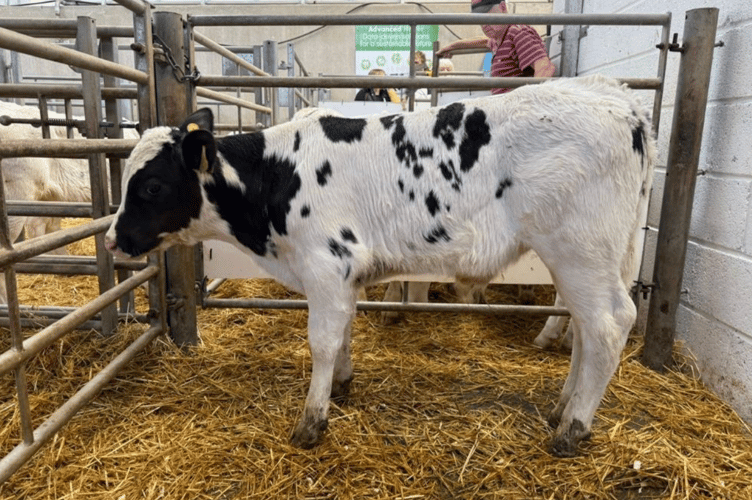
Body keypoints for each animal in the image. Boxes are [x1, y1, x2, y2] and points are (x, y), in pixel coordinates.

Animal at [104, 75, 655, 457]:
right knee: (584, 327)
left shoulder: (326, 264)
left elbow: (322, 342)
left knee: (609, 325)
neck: (278, 176)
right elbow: (345, 332)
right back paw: (561, 408)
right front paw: (342, 385)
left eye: (151, 186)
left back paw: (573, 429)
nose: (113, 238)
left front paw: (312, 421)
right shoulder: (343, 275)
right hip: (592, 257)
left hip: (580, 249)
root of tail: (614, 96)